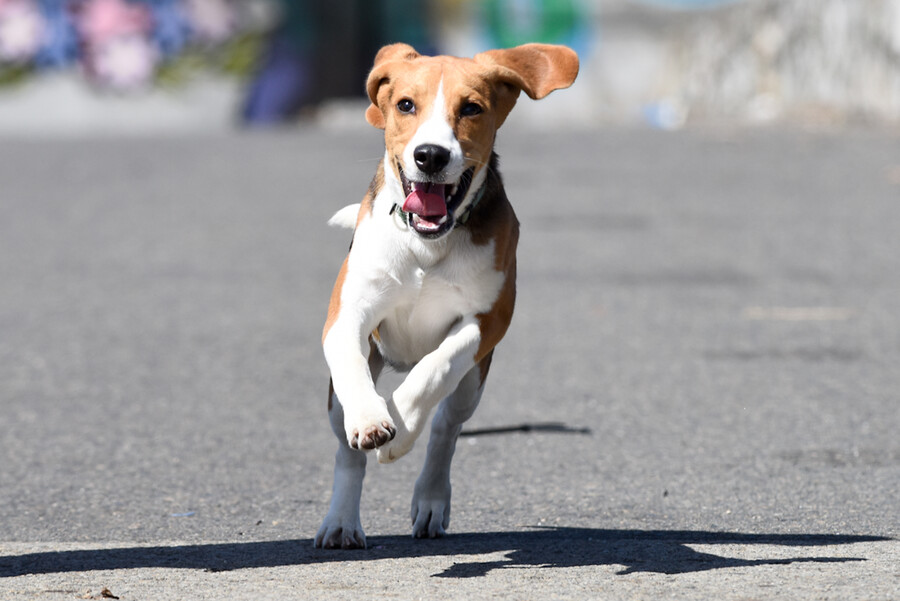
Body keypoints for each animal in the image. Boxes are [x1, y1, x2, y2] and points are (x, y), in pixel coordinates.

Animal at [314, 42, 576, 548]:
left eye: (471, 108)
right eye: (405, 105)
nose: (431, 156)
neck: (428, 243)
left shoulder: (488, 320)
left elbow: (436, 369)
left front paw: (400, 427)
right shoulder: (345, 315)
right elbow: (352, 364)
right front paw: (373, 421)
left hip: (472, 385)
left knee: (446, 427)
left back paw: (431, 498)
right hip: (337, 403)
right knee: (346, 453)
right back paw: (341, 522)